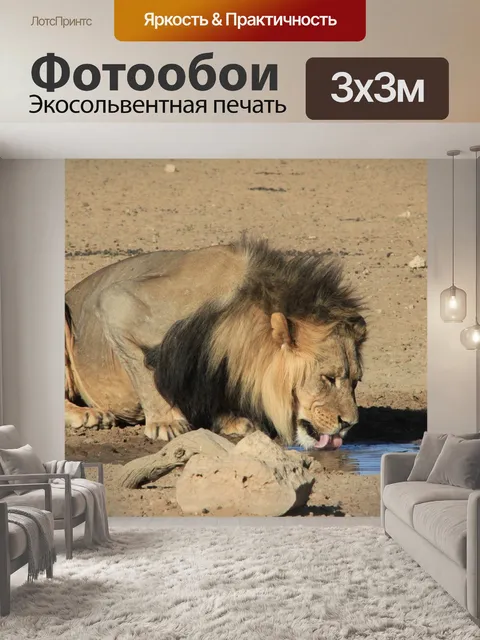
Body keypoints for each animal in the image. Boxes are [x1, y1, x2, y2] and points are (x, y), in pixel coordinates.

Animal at [65, 237, 367, 450]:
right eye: (328, 378)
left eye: (356, 381)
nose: (348, 425)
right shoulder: (118, 303)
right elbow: (144, 374)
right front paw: (166, 422)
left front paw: (231, 421)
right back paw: (87, 415)